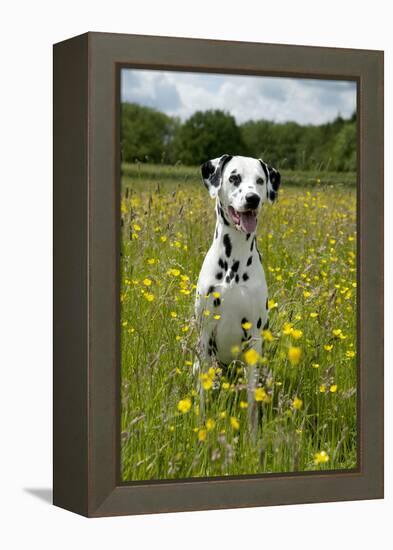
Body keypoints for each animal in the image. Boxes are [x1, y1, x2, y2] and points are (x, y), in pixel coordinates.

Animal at [193, 155, 278, 432]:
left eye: (260, 180)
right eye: (234, 177)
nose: (253, 199)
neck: (233, 265)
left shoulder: (254, 336)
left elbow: (251, 402)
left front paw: (252, 435)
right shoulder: (205, 332)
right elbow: (202, 392)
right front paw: (200, 423)